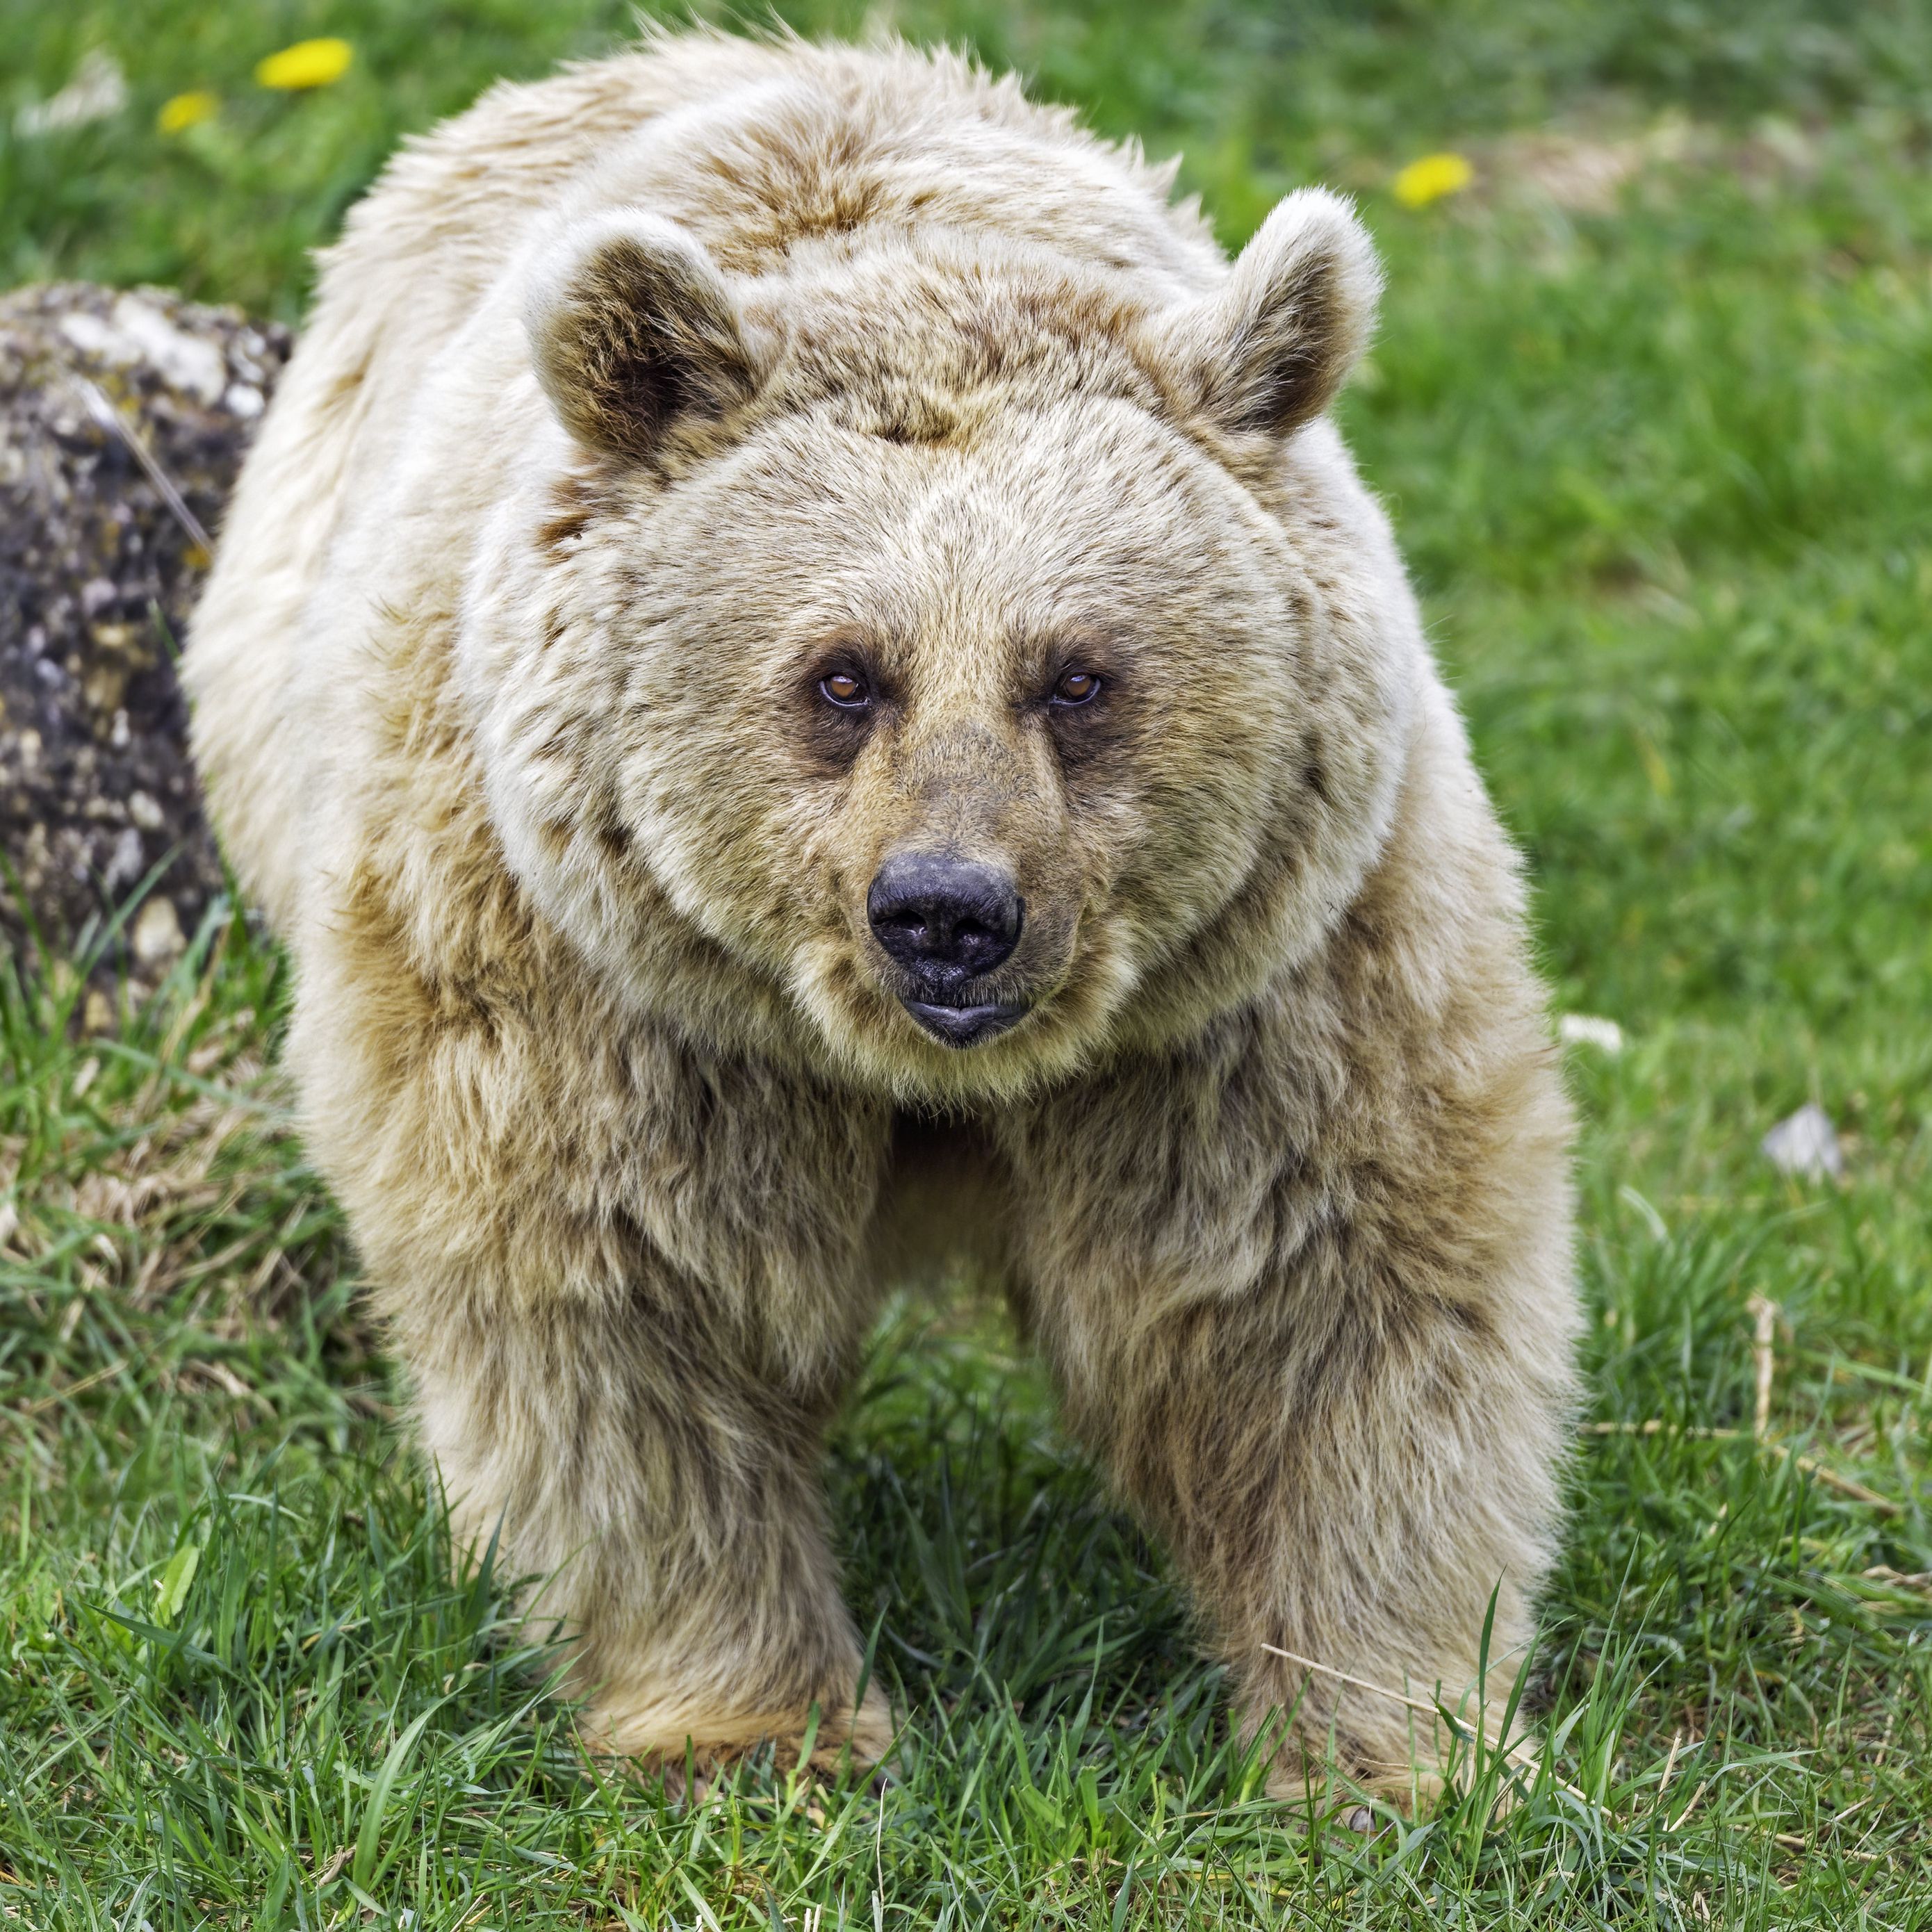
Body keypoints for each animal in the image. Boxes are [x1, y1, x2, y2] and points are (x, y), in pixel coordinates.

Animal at [181, 26, 1576, 1808]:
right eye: (844, 676)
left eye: (1078, 675)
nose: (949, 914)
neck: (927, 1087)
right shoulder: (603, 989)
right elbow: (631, 1315)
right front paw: (753, 1726)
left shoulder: (1252, 996)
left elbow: (1327, 1299)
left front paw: (1394, 1744)